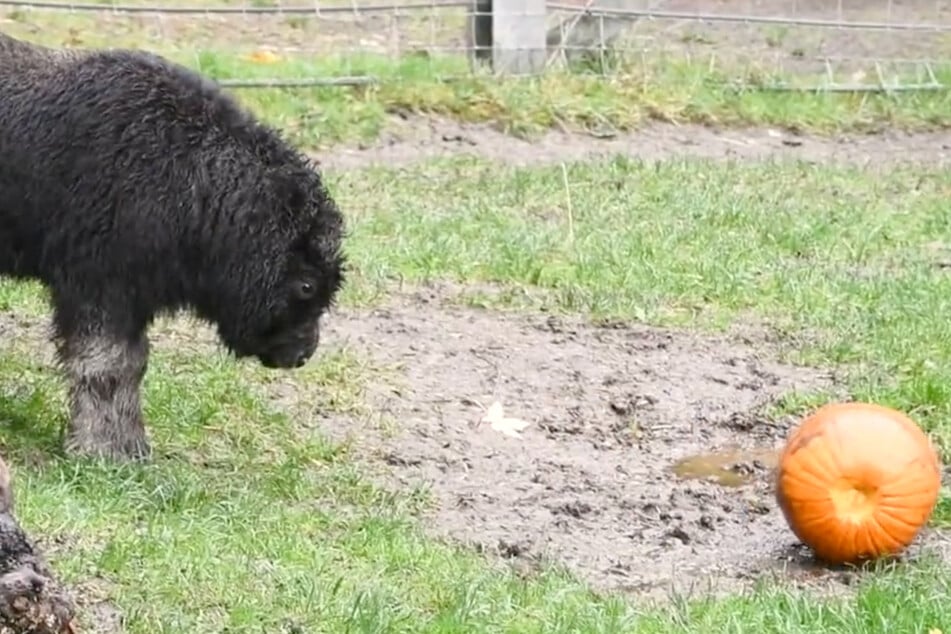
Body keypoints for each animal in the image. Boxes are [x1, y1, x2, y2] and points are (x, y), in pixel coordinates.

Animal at [0, 33, 348, 460]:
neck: (191, 172)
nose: (303, 354)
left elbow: (133, 365)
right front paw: (103, 450)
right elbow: (106, 366)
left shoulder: (132, 297)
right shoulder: (98, 288)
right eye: (306, 285)